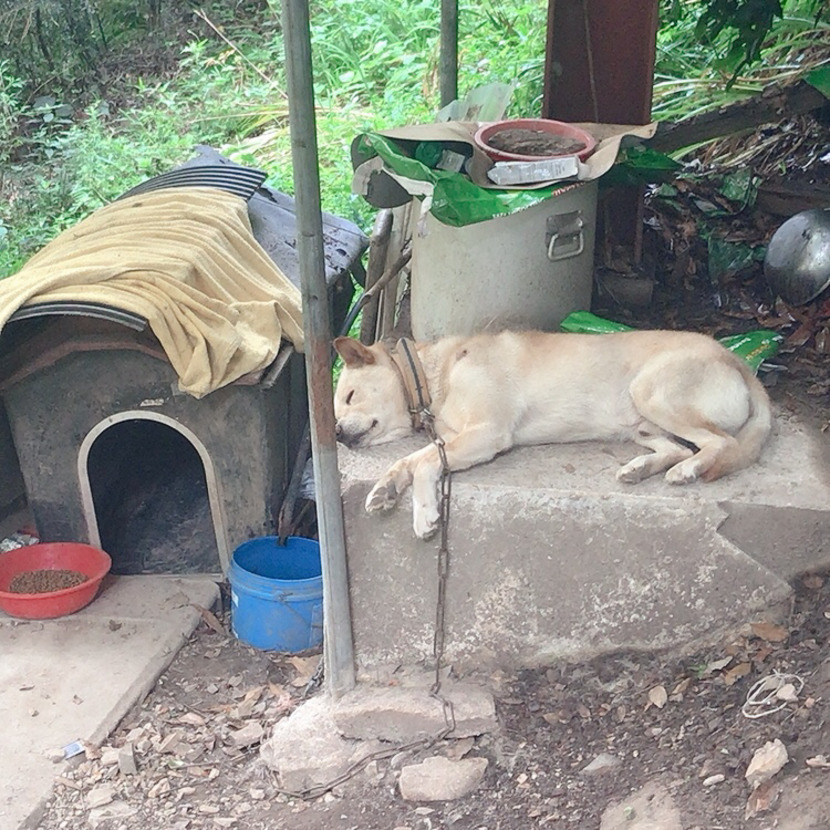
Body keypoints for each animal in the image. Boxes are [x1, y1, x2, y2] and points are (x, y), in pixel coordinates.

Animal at [333, 329, 772, 539]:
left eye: (350, 396)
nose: (335, 433)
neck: (433, 375)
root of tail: (737, 361)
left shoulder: (488, 433)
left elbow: (423, 463)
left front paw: (424, 513)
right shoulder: (455, 439)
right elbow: (406, 460)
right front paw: (385, 489)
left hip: (651, 393)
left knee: (720, 443)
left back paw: (688, 471)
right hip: (641, 423)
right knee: (677, 448)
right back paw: (641, 468)